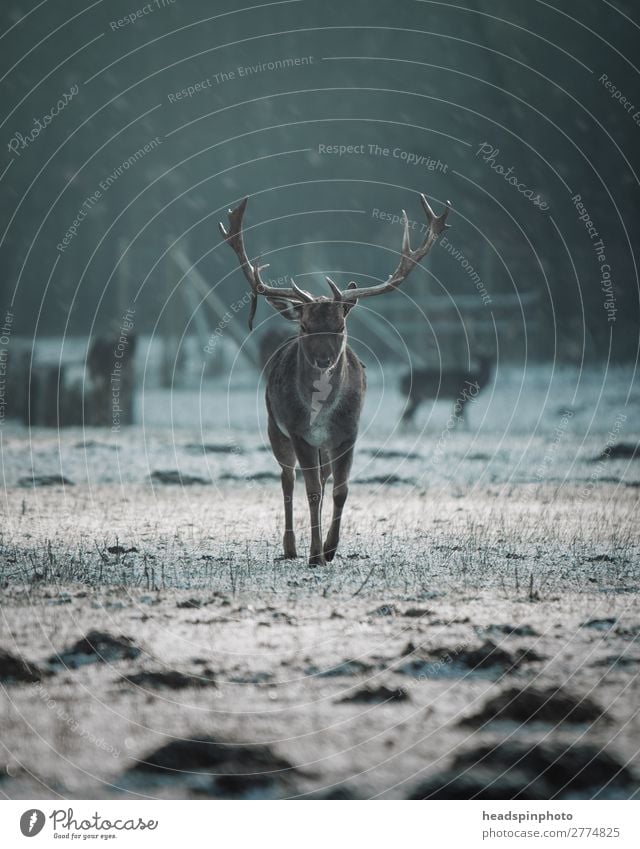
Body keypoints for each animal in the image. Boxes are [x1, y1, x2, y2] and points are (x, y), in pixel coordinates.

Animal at [220, 192, 450, 564]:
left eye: (340, 326)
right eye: (305, 326)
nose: (323, 358)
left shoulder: (348, 433)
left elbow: (341, 490)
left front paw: (330, 549)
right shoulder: (299, 431)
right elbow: (311, 491)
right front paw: (315, 554)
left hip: (324, 446)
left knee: (323, 480)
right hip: (275, 427)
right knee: (287, 479)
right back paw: (290, 547)